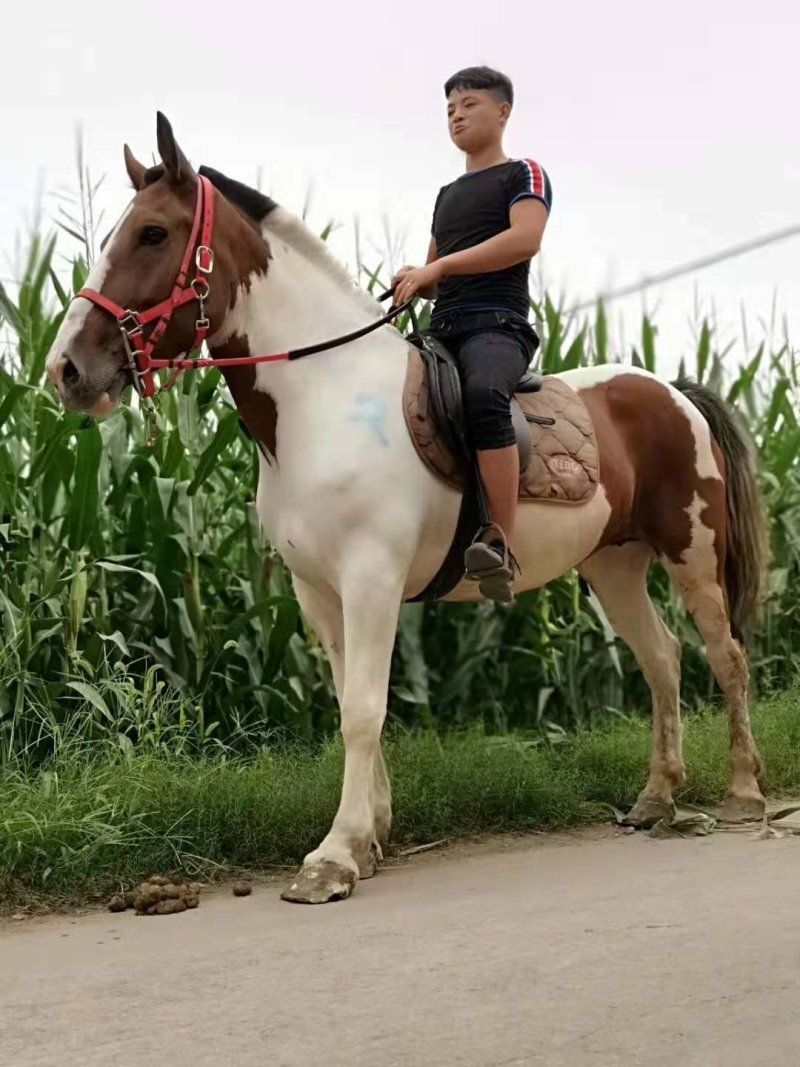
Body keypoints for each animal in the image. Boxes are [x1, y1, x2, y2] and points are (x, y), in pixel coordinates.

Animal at [45, 114, 767, 904]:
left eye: (151, 233)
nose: (66, 369)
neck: (322, 396)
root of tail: (670, 388)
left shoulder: (372, 578)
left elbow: (364, 709)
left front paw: (333, 857)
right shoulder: (317, 589)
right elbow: (347, 700)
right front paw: (371, 837)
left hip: (692, 550)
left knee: (726, 656)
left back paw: (743, 794)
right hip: (614, 562)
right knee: (662, 658)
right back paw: (657, 797)